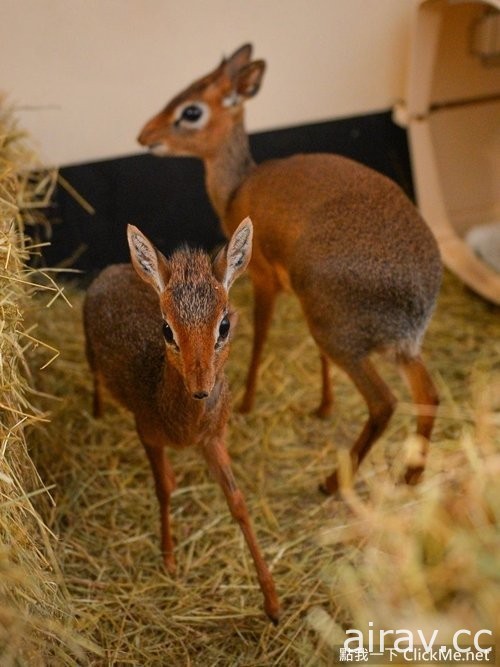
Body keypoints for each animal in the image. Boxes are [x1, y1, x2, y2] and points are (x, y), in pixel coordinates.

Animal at [82, 217, 282, 624]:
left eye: (224, 324)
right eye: (167, 329)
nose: (201, 388)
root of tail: (111, 269)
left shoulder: (214, 439)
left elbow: (238, 502)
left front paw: (273, 604)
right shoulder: (147, 432)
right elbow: (164, 488)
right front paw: (170, 561)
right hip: (90, 354)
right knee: (94, 380)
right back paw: (96, 412)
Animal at [137, 41, 442, 490]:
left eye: (191, 110)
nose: (144, 135)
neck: (237, 187)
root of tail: (422, 296)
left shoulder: (263, 279)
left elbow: (260, 334)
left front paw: (247, 401)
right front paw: (324, 406)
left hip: (342, 336)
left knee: (385, 403)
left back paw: (332, 482)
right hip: (395, 347)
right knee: (429, 395)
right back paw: (412, 476)